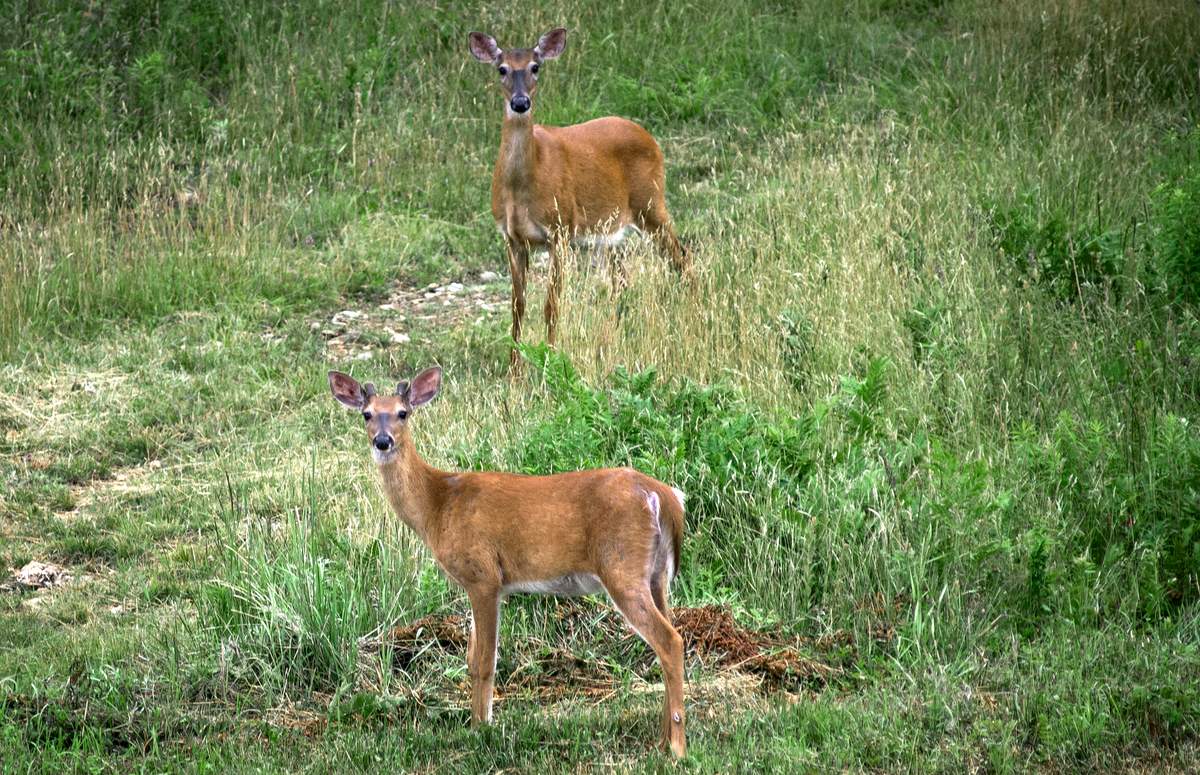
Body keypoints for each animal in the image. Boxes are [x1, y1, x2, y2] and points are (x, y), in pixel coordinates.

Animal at [328, 367, 688, 757]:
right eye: (367, 414)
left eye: (402, 413)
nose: (383, 441)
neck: (438, 504)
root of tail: (664, 495)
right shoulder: (486, 586)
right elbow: (472, 659)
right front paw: (479, 723)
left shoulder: (483, 575)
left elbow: (485, 660)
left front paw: (480, 729)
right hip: (655, 574)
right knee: (667, 638)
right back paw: (660, 740)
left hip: (621, 566)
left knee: (670, 641)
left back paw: (677, 748)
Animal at [468, 28, 694, 371]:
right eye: (502, 69)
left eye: (535, 67)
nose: (520, 102)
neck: (523, 187)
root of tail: (649, 137)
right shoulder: (512, 237)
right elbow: (517, 306)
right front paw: (514, 372)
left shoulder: (559, 229)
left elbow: (551, 304)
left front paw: (549, 362)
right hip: (604, 232)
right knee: (621, 281)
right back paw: (606, 345)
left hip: (652, 205)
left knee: (683, 258)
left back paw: (695, 317)